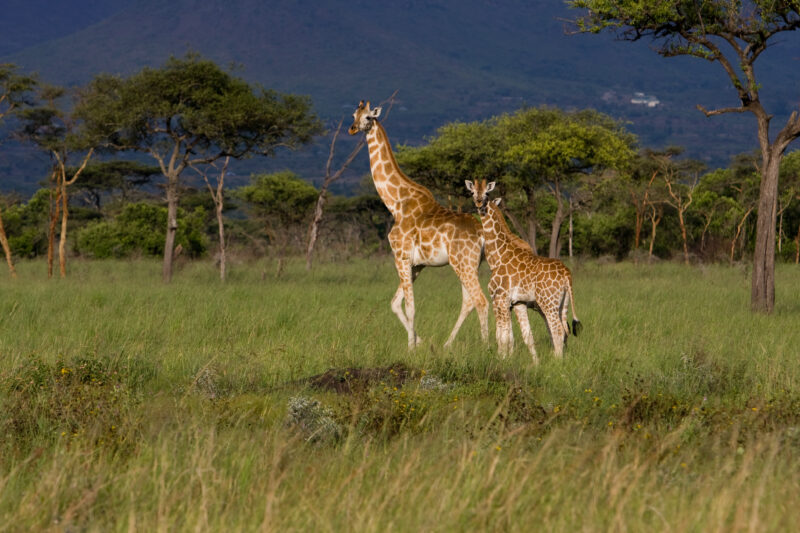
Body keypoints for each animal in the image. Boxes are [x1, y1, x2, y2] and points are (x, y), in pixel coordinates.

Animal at [348, 100, 489, 349]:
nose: (353, 129)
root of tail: (481, 233)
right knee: (469, 301)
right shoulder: (417, 265)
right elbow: (395, 304)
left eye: (368, 117)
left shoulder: (401, 257)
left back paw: (488, 348)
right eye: (353, 115)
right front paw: (420, 342)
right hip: (471, 264)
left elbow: (410, 307)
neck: (396, 203)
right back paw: (447, 344)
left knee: (481, 300)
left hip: (462, 263)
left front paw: (411, 348)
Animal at [465, 179, 581, 362]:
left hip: (547, 303)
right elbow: (520, 335)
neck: (498, 255)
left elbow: (502, 335)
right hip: (562, 303)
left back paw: (556, 362)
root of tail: (566, 274)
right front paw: (531, 362)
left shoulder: (500, 299)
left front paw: (502, 360)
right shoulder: (516, 302)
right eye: (472, 192)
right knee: (564, 330)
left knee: (557, 330)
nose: (478, 202)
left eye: (486, 193)